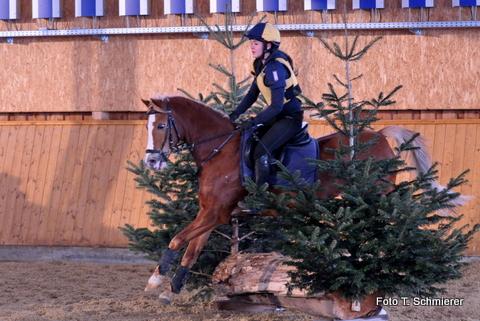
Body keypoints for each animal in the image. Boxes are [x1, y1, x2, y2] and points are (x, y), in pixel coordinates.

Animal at [139, 95, 464, 300]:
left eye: (161, 126)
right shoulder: (211, 212)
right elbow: (192, 249)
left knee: (393, 227)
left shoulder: (214, 213)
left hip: (376, 197)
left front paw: (155, 280)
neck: (220, 149)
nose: (152, 162)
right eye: (147, 126)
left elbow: (177, 240)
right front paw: (172, 289)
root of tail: (380, 135)